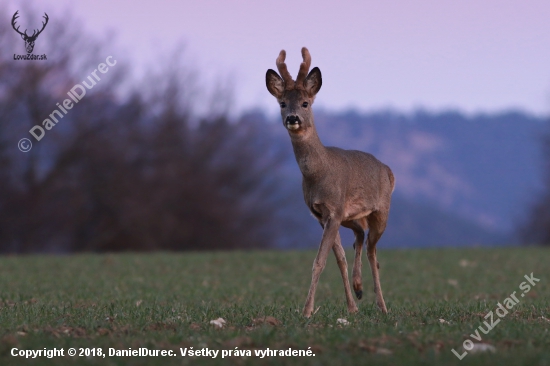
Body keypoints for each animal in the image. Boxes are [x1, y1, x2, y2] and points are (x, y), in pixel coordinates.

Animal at [266, 48, 394, 318]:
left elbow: (320, 261)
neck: (318, 173)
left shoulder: (334, 210)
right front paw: (352, 307)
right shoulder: (322, 215)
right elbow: (339, 259)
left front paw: (306, 310)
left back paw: (382, 306)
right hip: (351, 217)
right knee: (360, 236)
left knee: (373, 252)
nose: (292, 118)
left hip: (381, 211)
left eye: (305, 103)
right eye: (282, 103)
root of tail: (388, 170)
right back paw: (359, 288)